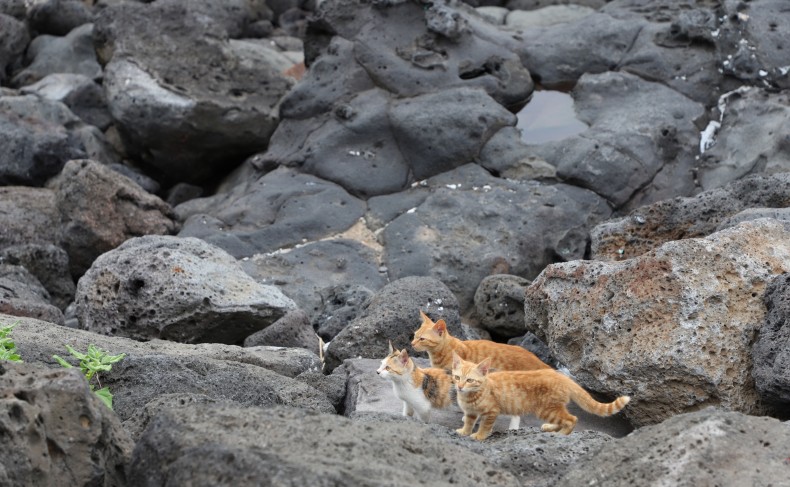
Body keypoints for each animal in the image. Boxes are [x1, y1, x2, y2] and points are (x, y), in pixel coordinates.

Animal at [452, 350, 632, 442]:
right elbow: (469, 422)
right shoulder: (471, 412)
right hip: (552, 407)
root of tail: (561, 376)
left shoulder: (491, 411)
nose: (459, 387)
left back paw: (560, 435)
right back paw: (550, 428)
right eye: (457, 377)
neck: (472, 395)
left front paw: (479, 436)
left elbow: (485, 425)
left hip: (545, 408)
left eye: (469, 380)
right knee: (564, 418)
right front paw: (464, 431)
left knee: (571, 419)